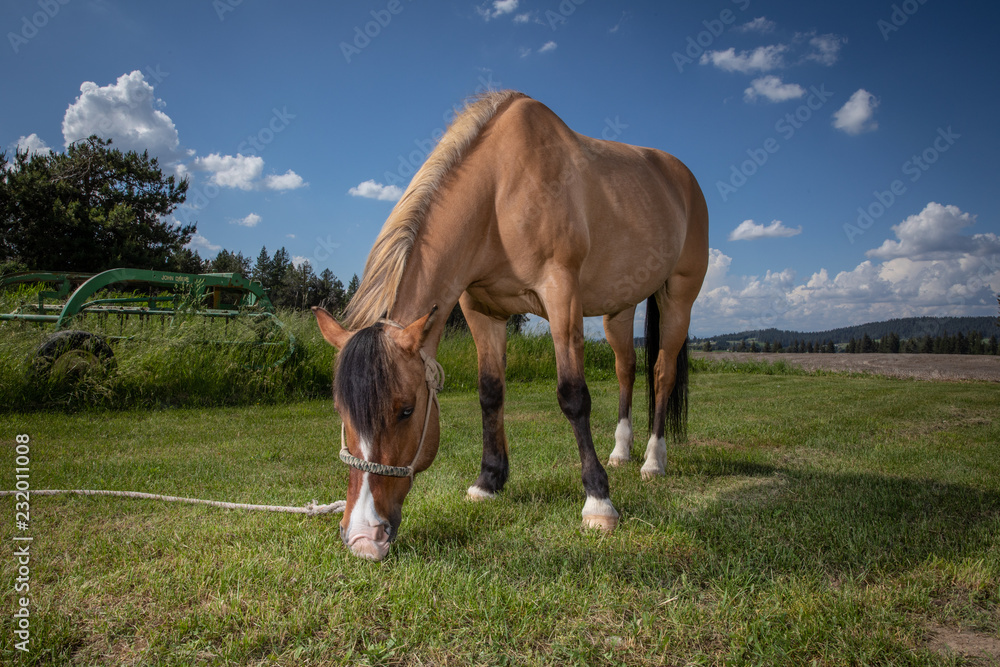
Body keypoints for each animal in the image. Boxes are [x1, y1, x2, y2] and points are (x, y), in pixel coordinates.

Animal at [313, 90, 708, 561]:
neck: (500, 192)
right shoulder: (481, 310)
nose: (363, 538)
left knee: (662, 373)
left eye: (406, 409)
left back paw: (652, 461)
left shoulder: (561, 293)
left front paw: (598, 503)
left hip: (678, 298)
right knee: (626, 369)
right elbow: (490, 393)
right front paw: (488, 481)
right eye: (341, 411)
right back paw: (621, 452)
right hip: (620, 309)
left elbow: (573, 396)